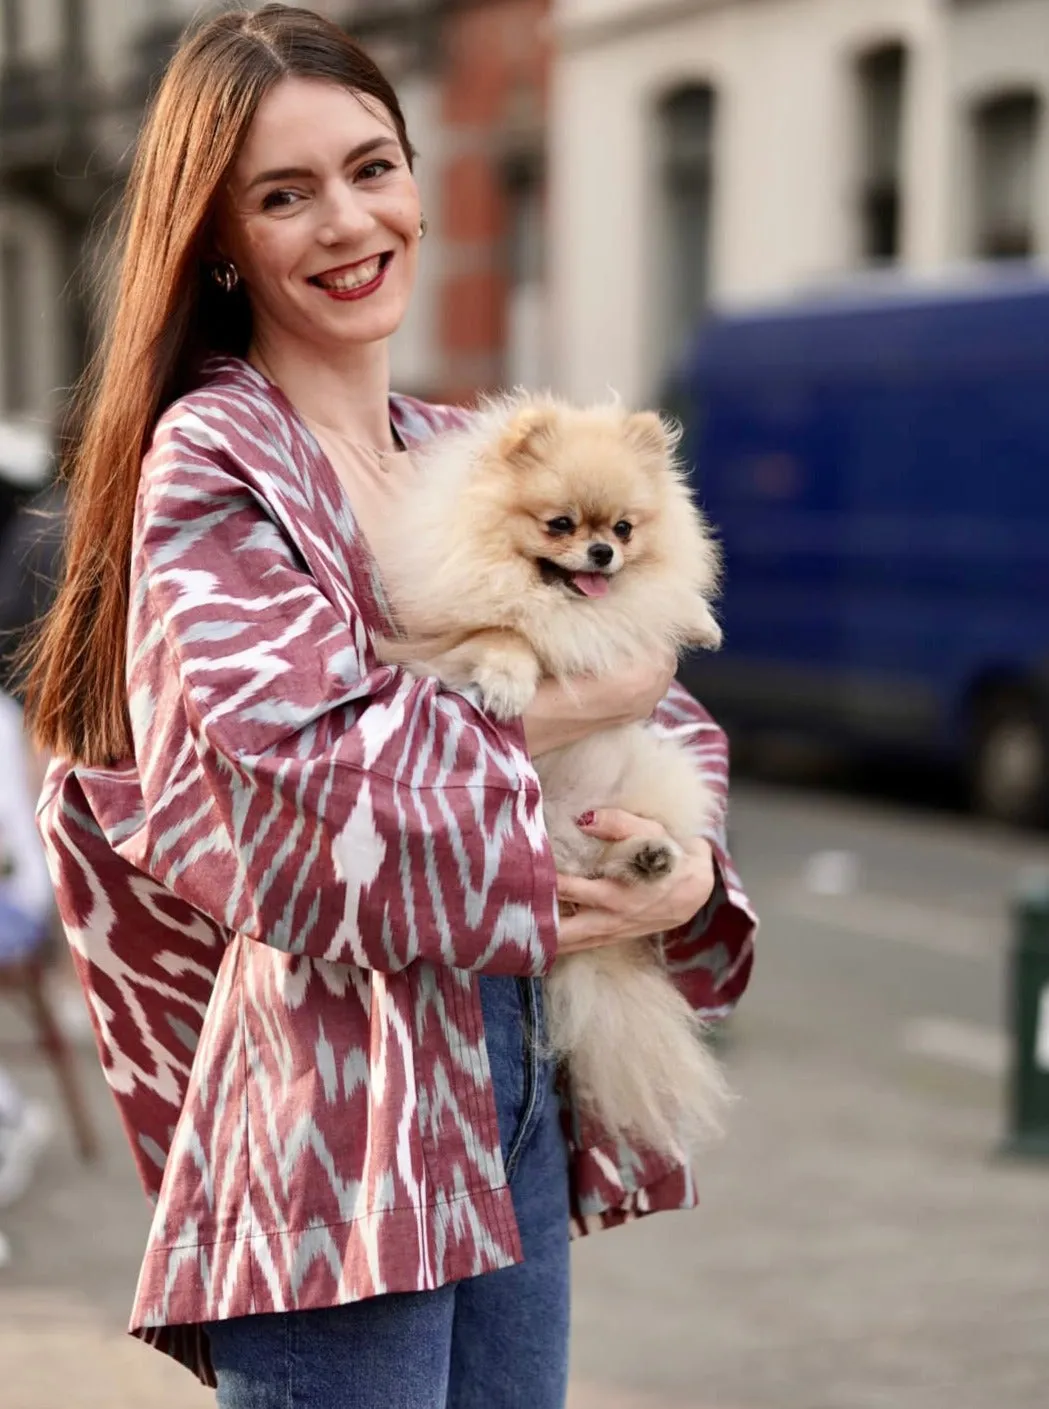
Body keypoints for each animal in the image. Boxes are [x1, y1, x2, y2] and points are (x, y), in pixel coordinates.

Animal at [375, 394, 727, 1155]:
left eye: (623, 527)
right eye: (559, 524)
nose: (602, 553)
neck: (564, 602)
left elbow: (654, 601)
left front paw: (701, 620)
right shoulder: (444, 638)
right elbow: (505, 634)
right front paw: (509, 682)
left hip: (652, 772)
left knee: (627, 854)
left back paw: (650, 856)